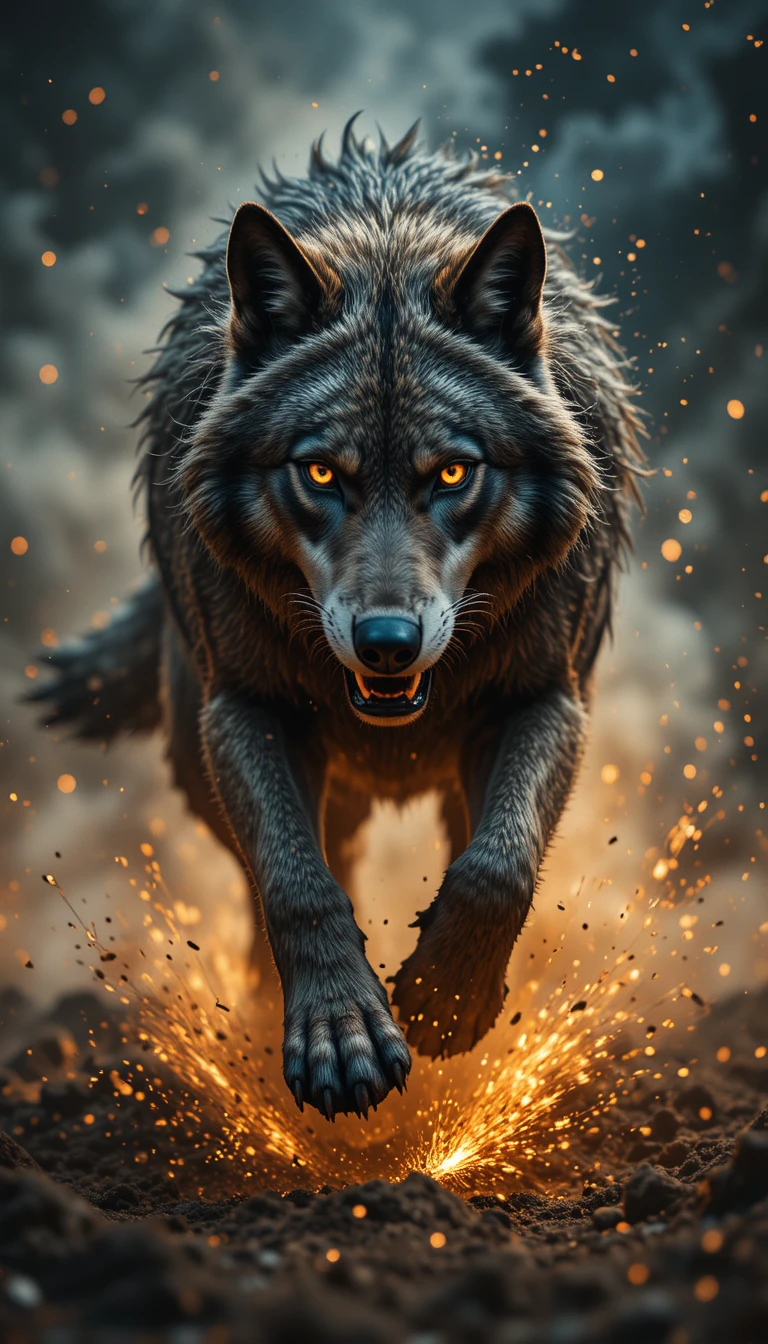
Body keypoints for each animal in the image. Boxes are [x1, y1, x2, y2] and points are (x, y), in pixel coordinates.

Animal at [30, 119, 643, 1121]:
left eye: (452, 472)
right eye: (320, 472)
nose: (386, 644)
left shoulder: (549, 698)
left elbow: (500, 864)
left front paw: (444, 1000)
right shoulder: (242, 710)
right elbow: (294, 878)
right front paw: (340, 1034)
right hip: (197, 747)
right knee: (296, 866)